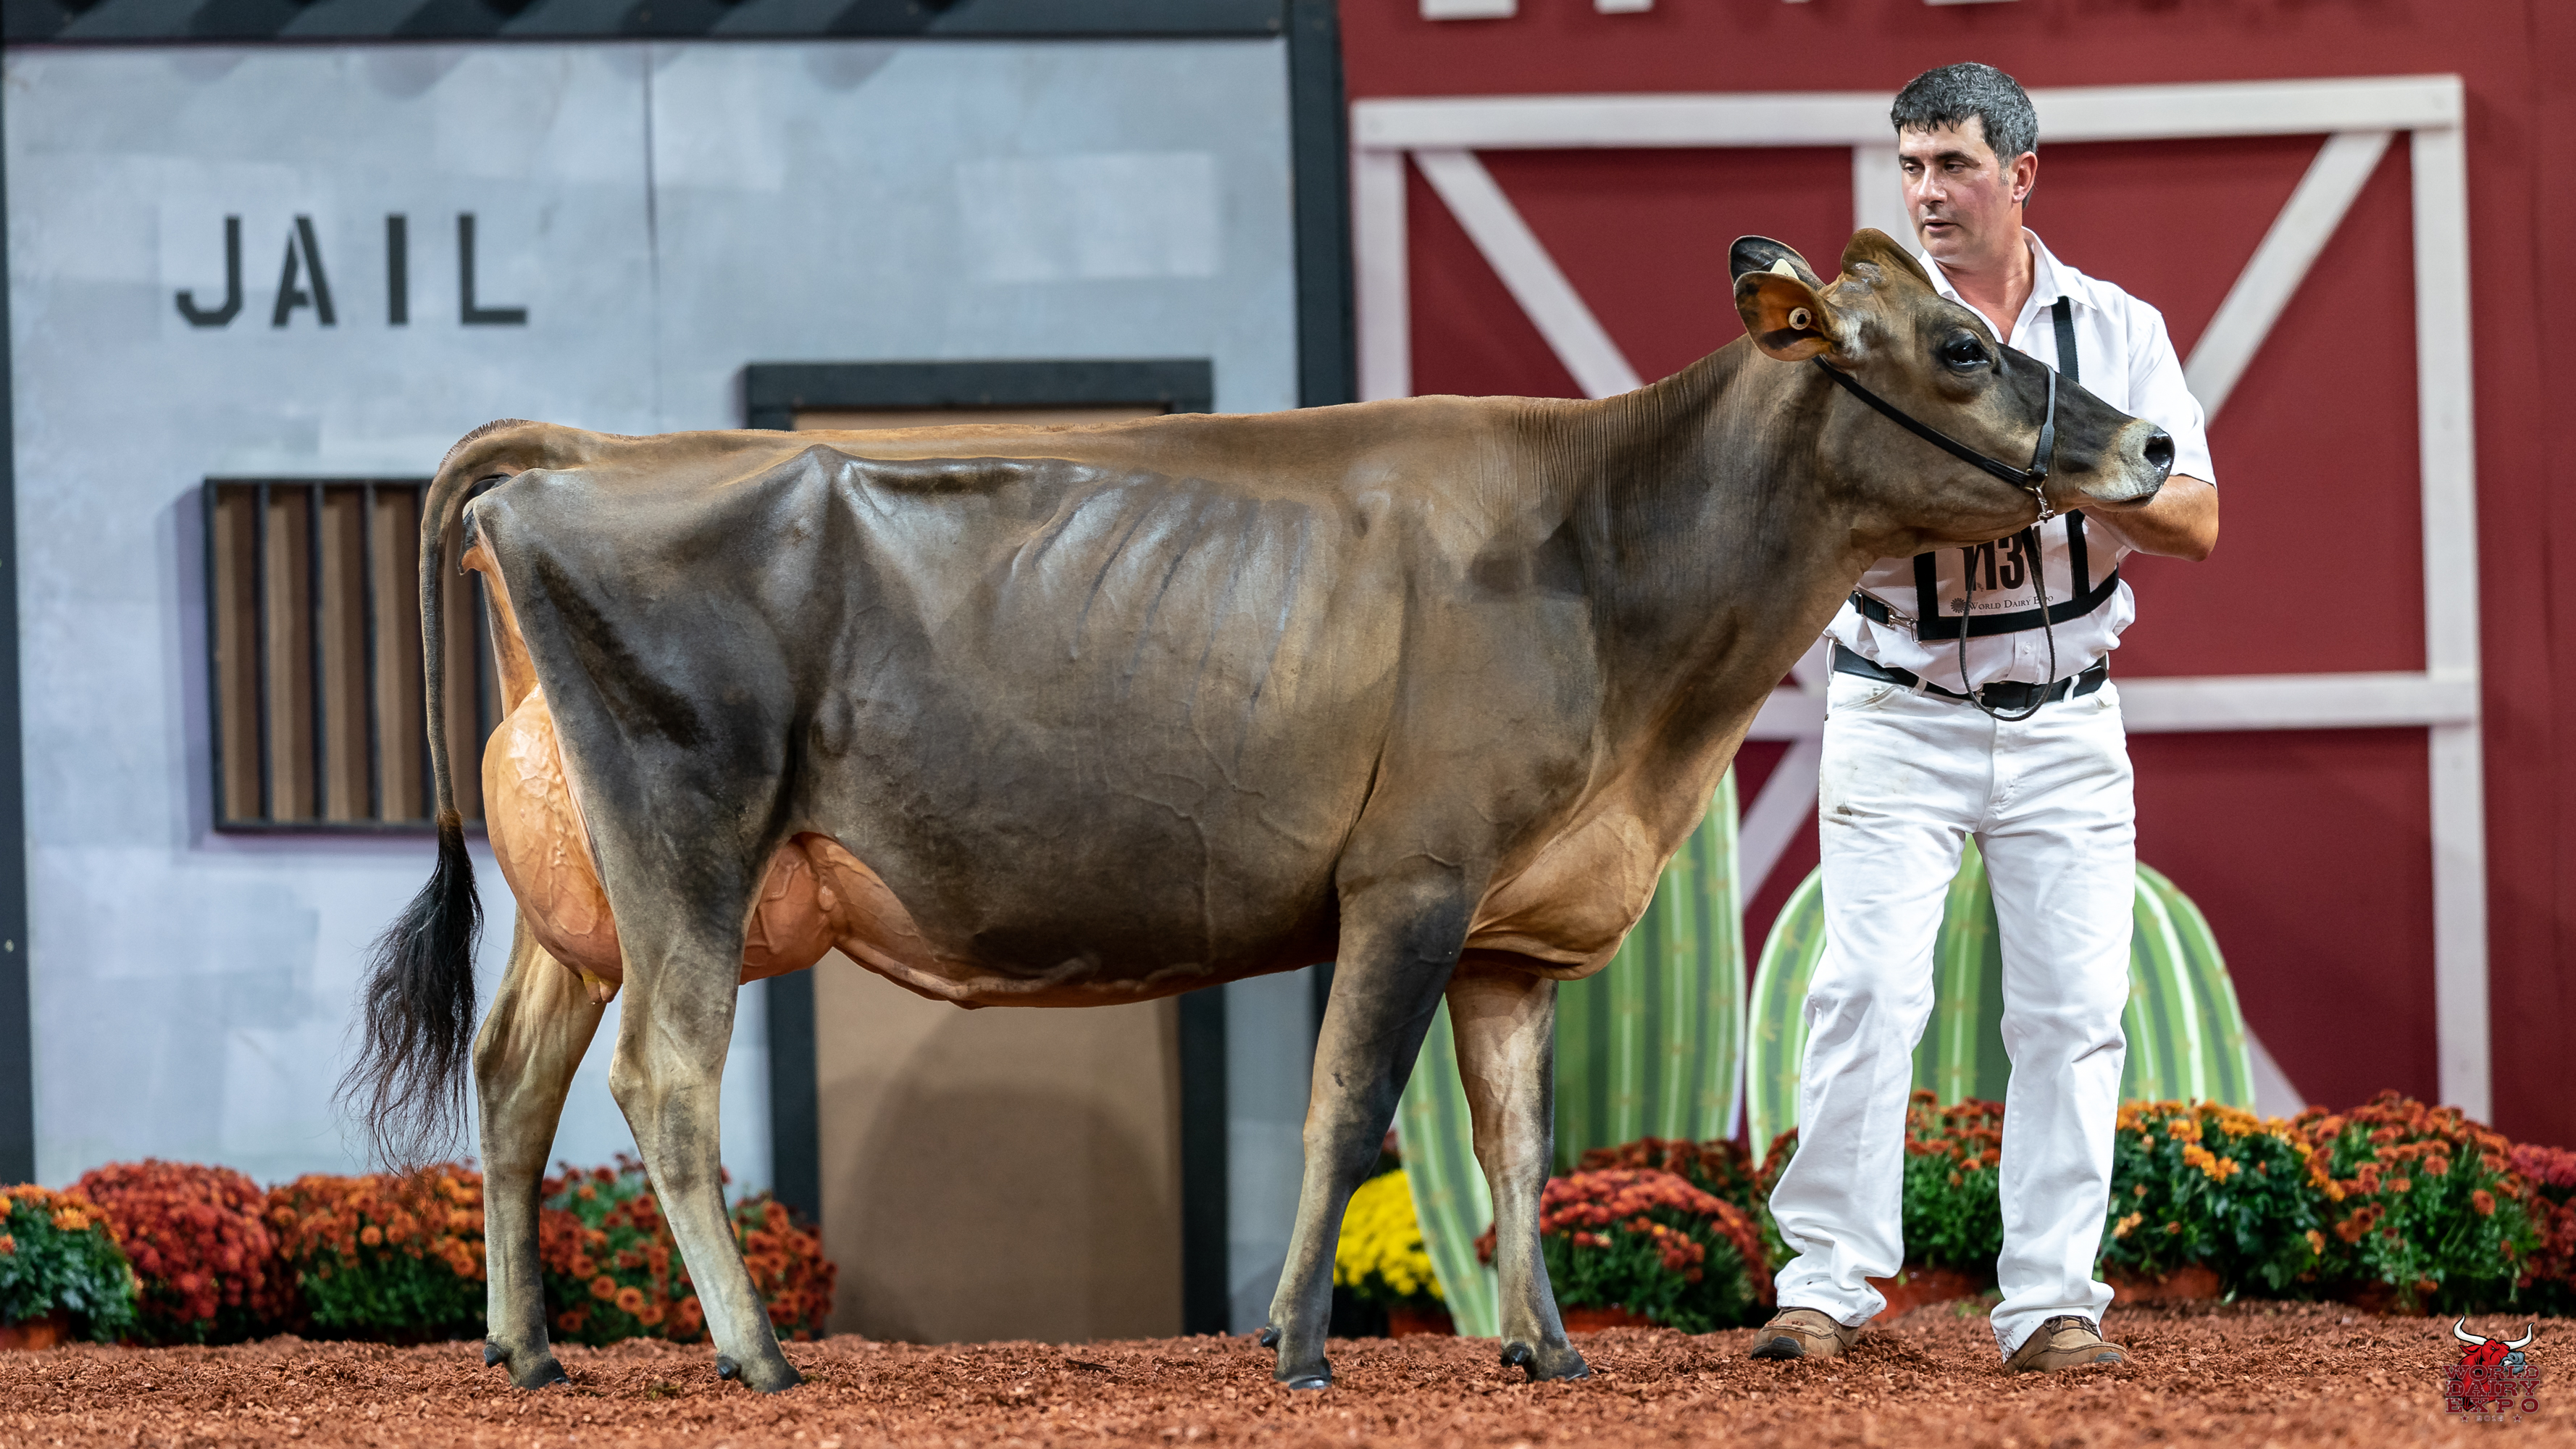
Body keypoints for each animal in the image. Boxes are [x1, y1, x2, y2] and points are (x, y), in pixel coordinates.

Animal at [344, 230, 2173, 1395]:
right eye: (1958, 347)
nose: (2153, 440)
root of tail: (583, 455)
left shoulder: (1513, 924)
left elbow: (1515, 1134)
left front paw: (1548, 1348)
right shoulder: (1412, 875)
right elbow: (1350, 1108)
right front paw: (1296, 1344)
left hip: (586, 894)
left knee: (513, 1079)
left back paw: (528, 1348)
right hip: (690, 837)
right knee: (660, 1078)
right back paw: (753, 1351)